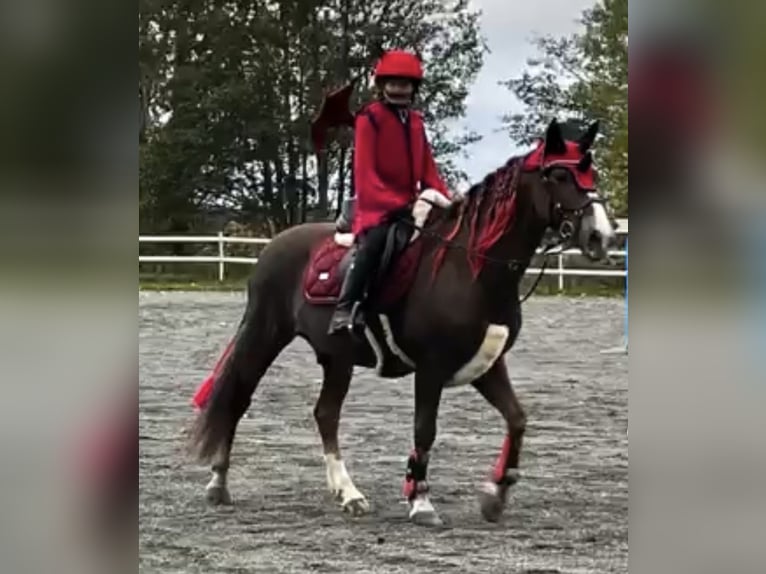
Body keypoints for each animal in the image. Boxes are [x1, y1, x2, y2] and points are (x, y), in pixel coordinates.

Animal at [189, 118, 617, 526]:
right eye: (559, 175)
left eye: (592, 173)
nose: (601, 236)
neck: (470, 268)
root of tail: (274, 245)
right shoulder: (430, 369)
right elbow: (424, 430)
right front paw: (421, 500)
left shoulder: (488, 365)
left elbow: (517, 419)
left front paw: (496, 494)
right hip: (265, 335)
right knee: (238, 398)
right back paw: (218, 483)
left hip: (337, 357)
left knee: (326, 414)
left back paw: (348, 493)